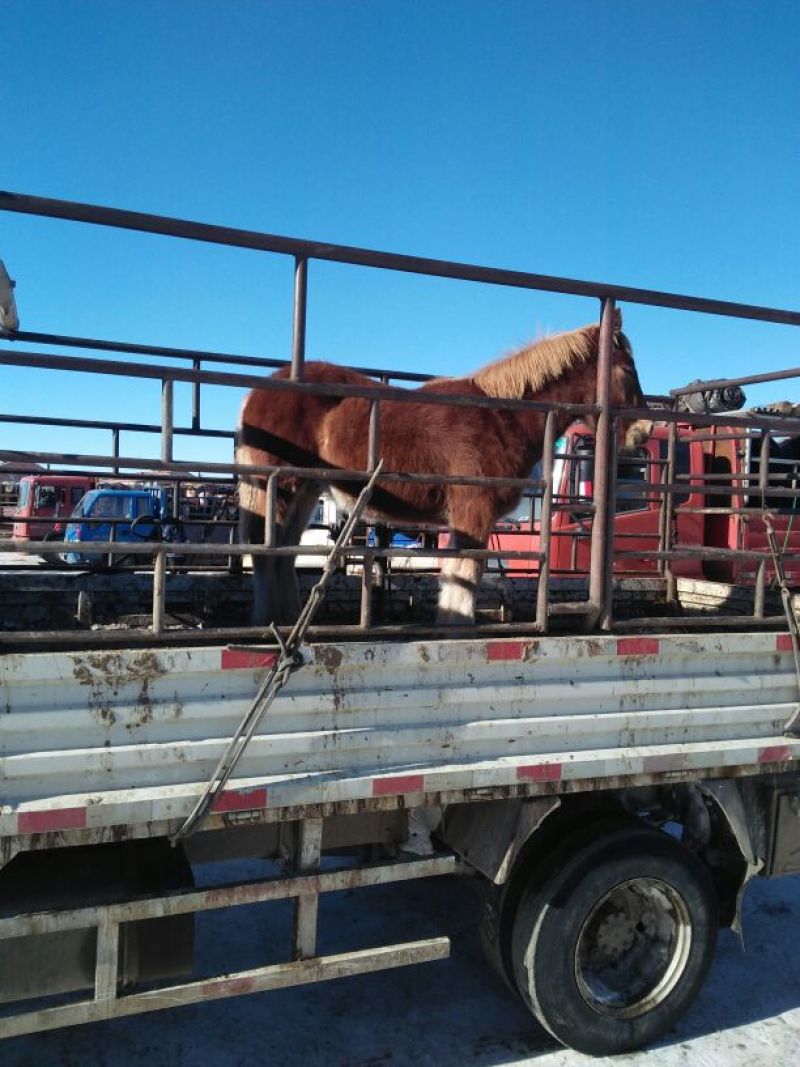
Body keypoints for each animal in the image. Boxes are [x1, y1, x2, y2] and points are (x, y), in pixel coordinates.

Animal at [236, 312, 648, 626]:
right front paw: (456, 625)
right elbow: (465, 574)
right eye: (628, 368)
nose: (642, 431)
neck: (502, 416)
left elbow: (456, 573)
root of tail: (256, 392)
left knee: (283, 548)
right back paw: (268, 619)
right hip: (280, 484)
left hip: (306, 487)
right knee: (264, 547)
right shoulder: (473, 512)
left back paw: (288, 617)